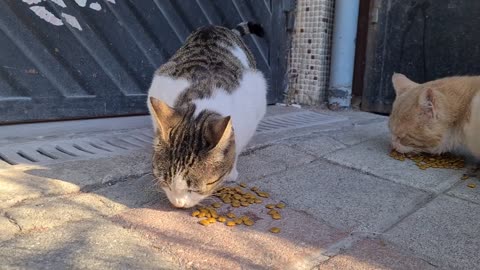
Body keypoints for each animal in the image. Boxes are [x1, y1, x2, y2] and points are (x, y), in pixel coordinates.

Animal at [146, 22, 266, 209]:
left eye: (194, 189)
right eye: (165, 182)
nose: (178, 204)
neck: (202, 102)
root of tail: (214, 27)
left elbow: (236, 147)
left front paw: (231, 170)